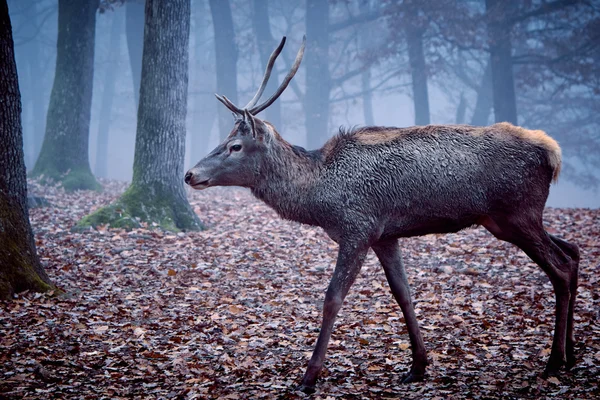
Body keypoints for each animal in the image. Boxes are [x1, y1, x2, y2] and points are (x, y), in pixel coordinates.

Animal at [185, 36, 580, 394]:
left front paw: (309, 377)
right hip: (506, 220)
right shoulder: (386, 235)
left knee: (560, 267)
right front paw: (418, 366)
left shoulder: (357, 229)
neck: (319, 195)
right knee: (573, 251)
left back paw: (553, 361)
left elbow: (332, 298)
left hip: (518, 212)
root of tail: (554, 153)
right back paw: (571, 356)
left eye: (235, 146)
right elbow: (403, 293)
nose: (189, 174)